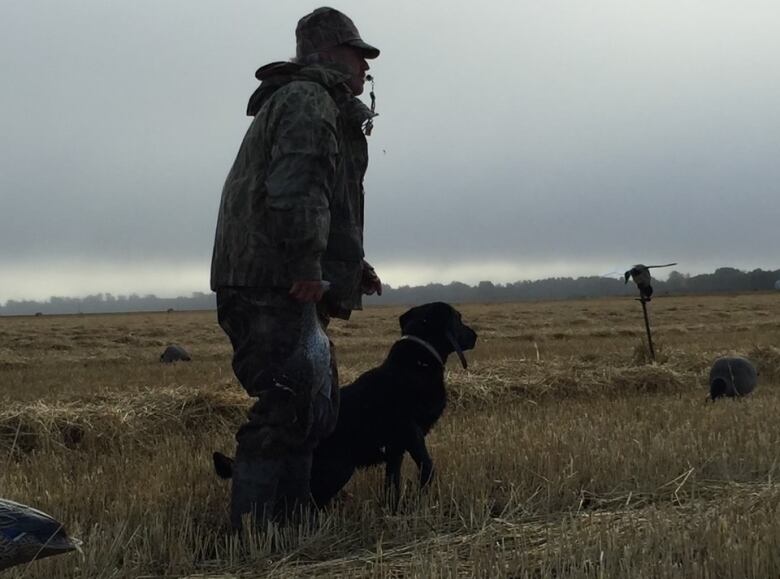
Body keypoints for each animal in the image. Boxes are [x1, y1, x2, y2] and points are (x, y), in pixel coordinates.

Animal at [216, 302, 478, 510]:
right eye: (459, 318)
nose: (475, 335)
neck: (417, 363)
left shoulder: (395, 449)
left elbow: (392, 483)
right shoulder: (412, 432)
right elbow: (427, 468)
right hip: (339, 468)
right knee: (310, 502)